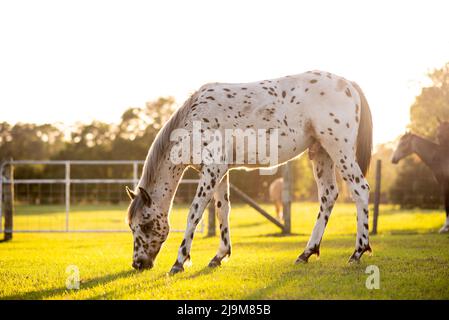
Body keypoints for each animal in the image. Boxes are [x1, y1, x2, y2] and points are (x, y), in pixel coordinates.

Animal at [125, 71, 372, 274]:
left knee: (360, 189)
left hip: (339, 149)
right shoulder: (219, 173)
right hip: (321, 153)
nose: (138, 264)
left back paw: (358, 252)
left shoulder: (212, 171)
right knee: (328, 195)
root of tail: (349, 84)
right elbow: (223, 211)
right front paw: (219, 256)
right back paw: (306, 253)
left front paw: (179, 262)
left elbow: (194, 213)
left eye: (145, 224)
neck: (194, 120)